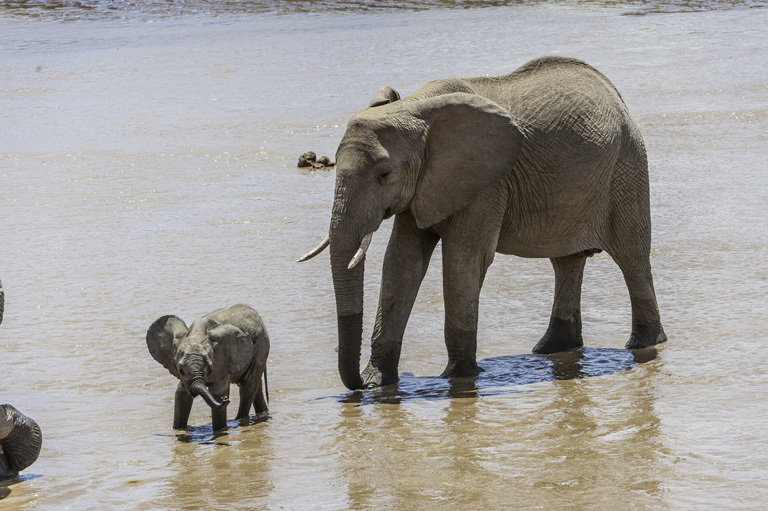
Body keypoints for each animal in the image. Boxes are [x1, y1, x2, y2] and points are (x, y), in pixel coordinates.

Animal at [147, 304, 270, 432]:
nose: (226, 399)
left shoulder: (222, 362)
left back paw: (240, 419)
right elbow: (181, 393)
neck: (197, 334)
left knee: (247, 387)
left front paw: (219, 430)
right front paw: (178, 430)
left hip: (261, 348)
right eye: (180, 370)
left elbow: (217, 394)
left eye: (210, 368)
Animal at [300, 56, 664, 390]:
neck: (415, 109)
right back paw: (552, 349)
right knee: (567, 262)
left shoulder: (487, 184)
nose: (359, 385)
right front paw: (379, 382)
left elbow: (464, 260)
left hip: (627, 167)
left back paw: (643, 344)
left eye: (384, 175)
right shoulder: (425, 187)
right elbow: (401, 262)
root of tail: (615, 96)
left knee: (632, 258)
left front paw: (457, 377)